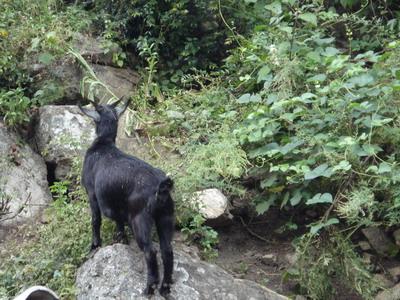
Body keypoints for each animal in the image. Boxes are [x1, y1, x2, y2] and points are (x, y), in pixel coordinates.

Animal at [79, 98, 174, 296]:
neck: (103, 143)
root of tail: (160, 187)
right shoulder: (116, 205)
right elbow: (118, 221)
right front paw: (120, 239)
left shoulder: (92, 194)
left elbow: (95, 221)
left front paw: (94, 246)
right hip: (165, 217)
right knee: (167, 251)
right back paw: (164, 288)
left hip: (140, 220)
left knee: (150, 252)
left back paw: (149, 288)